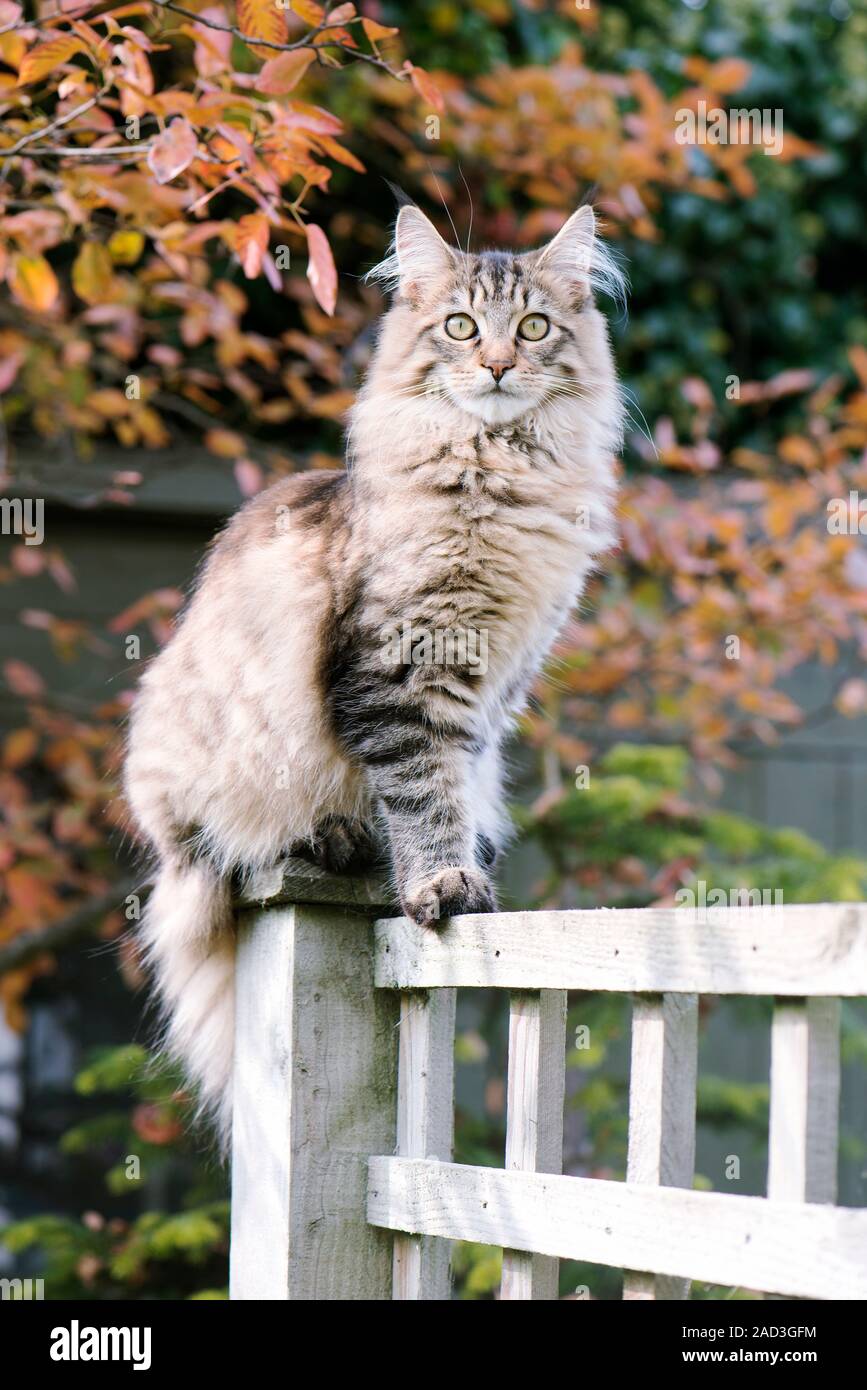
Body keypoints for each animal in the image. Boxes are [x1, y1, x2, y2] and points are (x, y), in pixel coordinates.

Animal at [122, 202, 622, 1139]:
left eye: (533, 328)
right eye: (460, 327)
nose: (496, 365)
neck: (495, 474)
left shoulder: (494, 683)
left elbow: (455, 780)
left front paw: (454, 864)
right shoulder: (395, 672)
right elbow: (421, 789)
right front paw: (440, 883)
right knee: (244, 845)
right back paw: (334, 838)